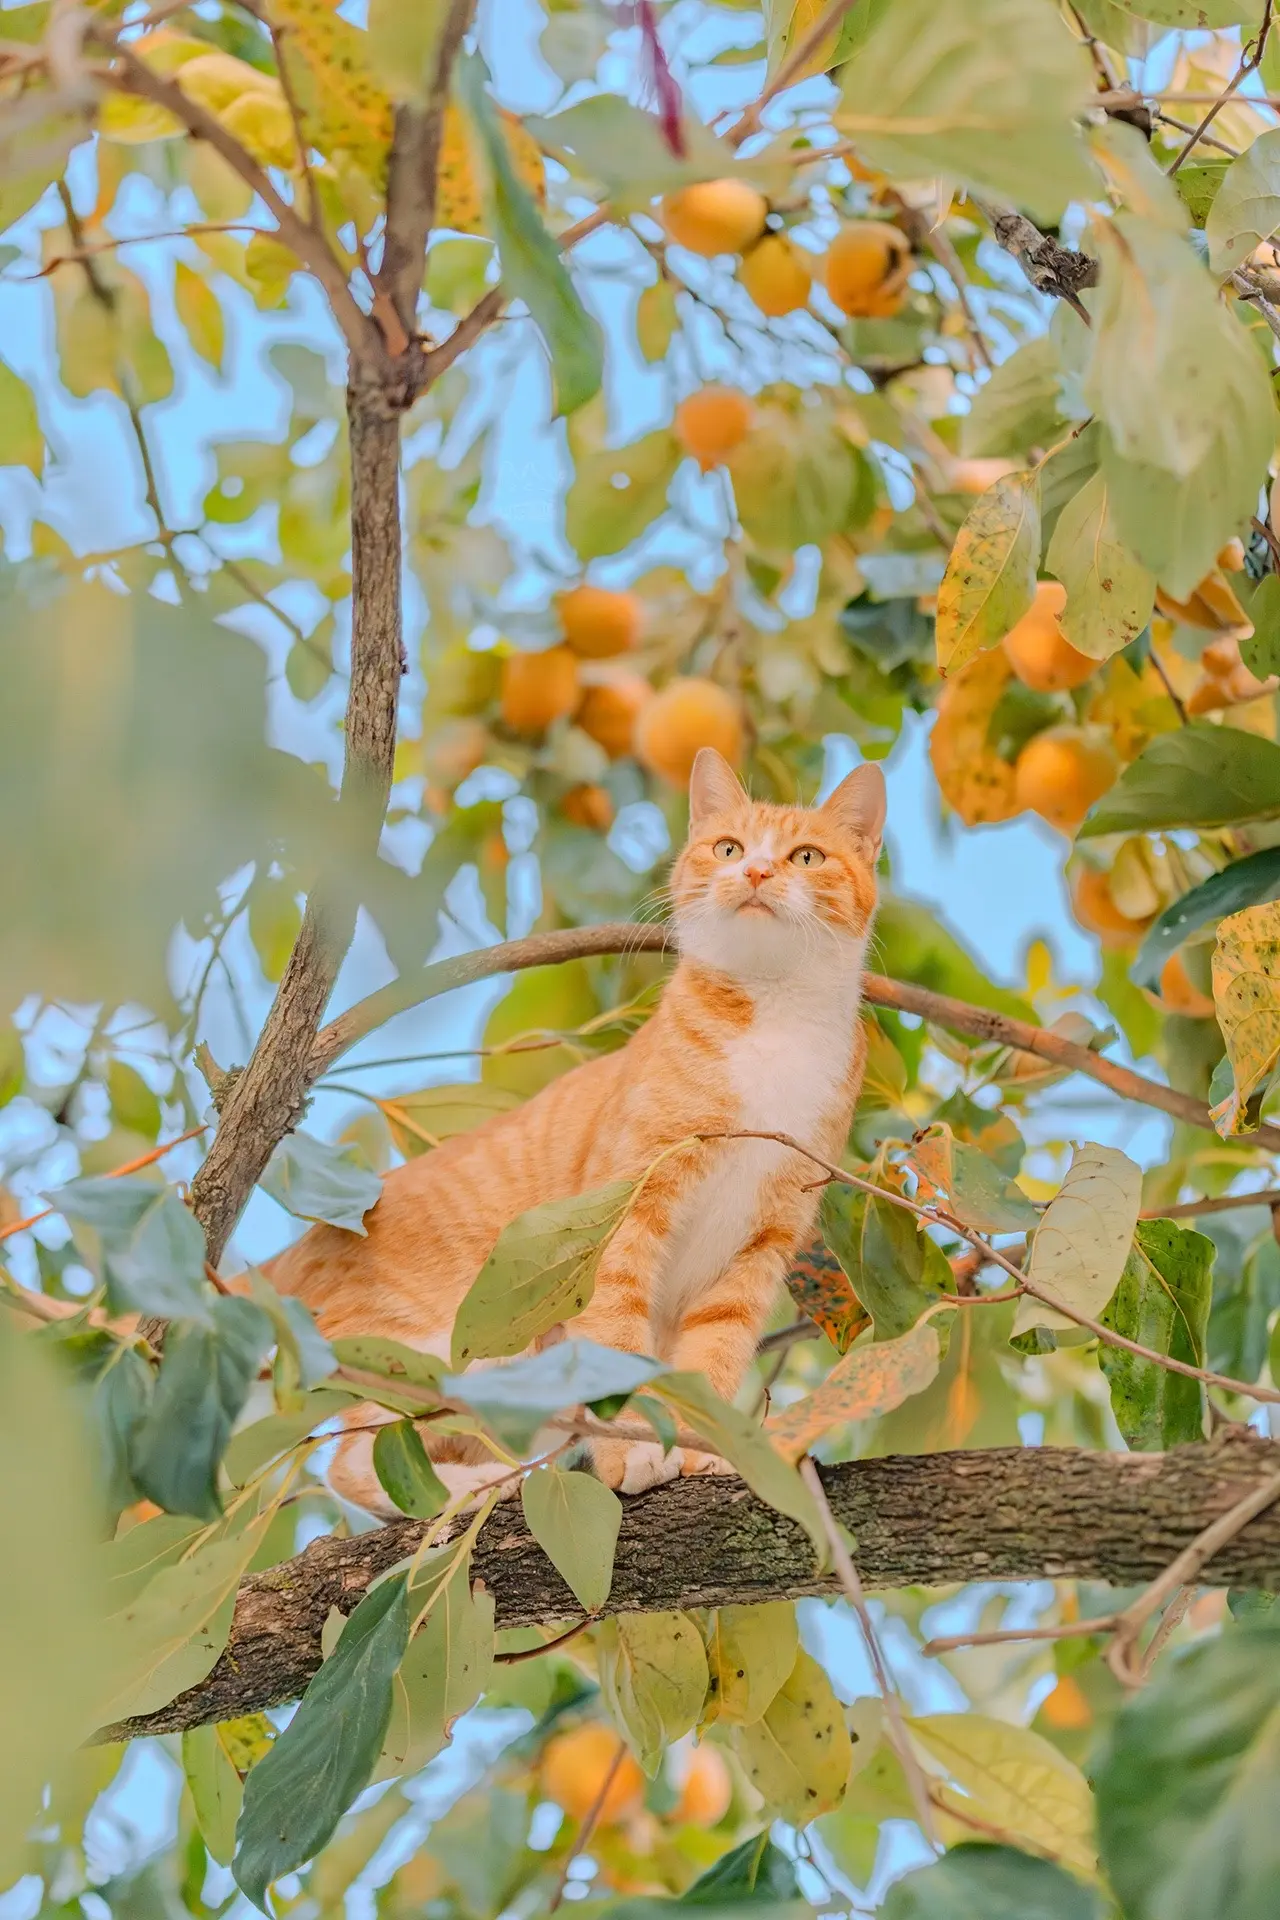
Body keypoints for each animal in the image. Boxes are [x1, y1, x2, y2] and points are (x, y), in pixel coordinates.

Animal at [270, 748, 886, 1512]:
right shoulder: (631, 1206)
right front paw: (632, 1454)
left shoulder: (758, 1249)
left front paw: (707, 1450)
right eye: (729, 848)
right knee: (357, 1457)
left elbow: (712, 1358)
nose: (756, 873)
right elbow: (617, 1337)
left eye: (805, 856)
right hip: (450, 1344)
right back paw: (475, 1487)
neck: (773, 1023)